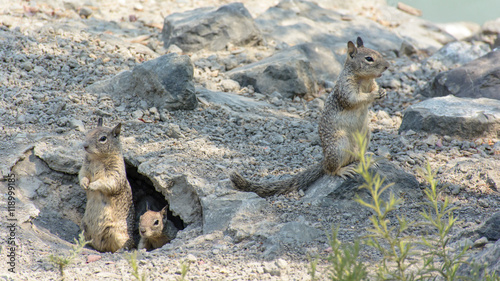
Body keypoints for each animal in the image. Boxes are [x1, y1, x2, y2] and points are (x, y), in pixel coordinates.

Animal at [77, 117, 134, 252]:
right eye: (89, 132)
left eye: (103, 138)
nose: (85, 145)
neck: (98, 159)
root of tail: (100, 248)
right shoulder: (84, 168)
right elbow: (82, 175)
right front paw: (84, 184)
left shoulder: (115, 173)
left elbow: (108, 182)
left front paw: (93, 185)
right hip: (84, 226)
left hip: (118, 234)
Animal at [230, 36, 390, 196]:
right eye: (369, 58)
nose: (387, 66)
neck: (365, 79)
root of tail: (324, 160)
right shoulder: (346, 88)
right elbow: (354, 99)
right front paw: (374, 95)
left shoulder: (371, 83)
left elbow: (374, 88)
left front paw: (382, 92)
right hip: (339, 146)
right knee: (330, 170)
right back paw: (342, 170)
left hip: (366, 136)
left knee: (357, 157)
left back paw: (368, 157)